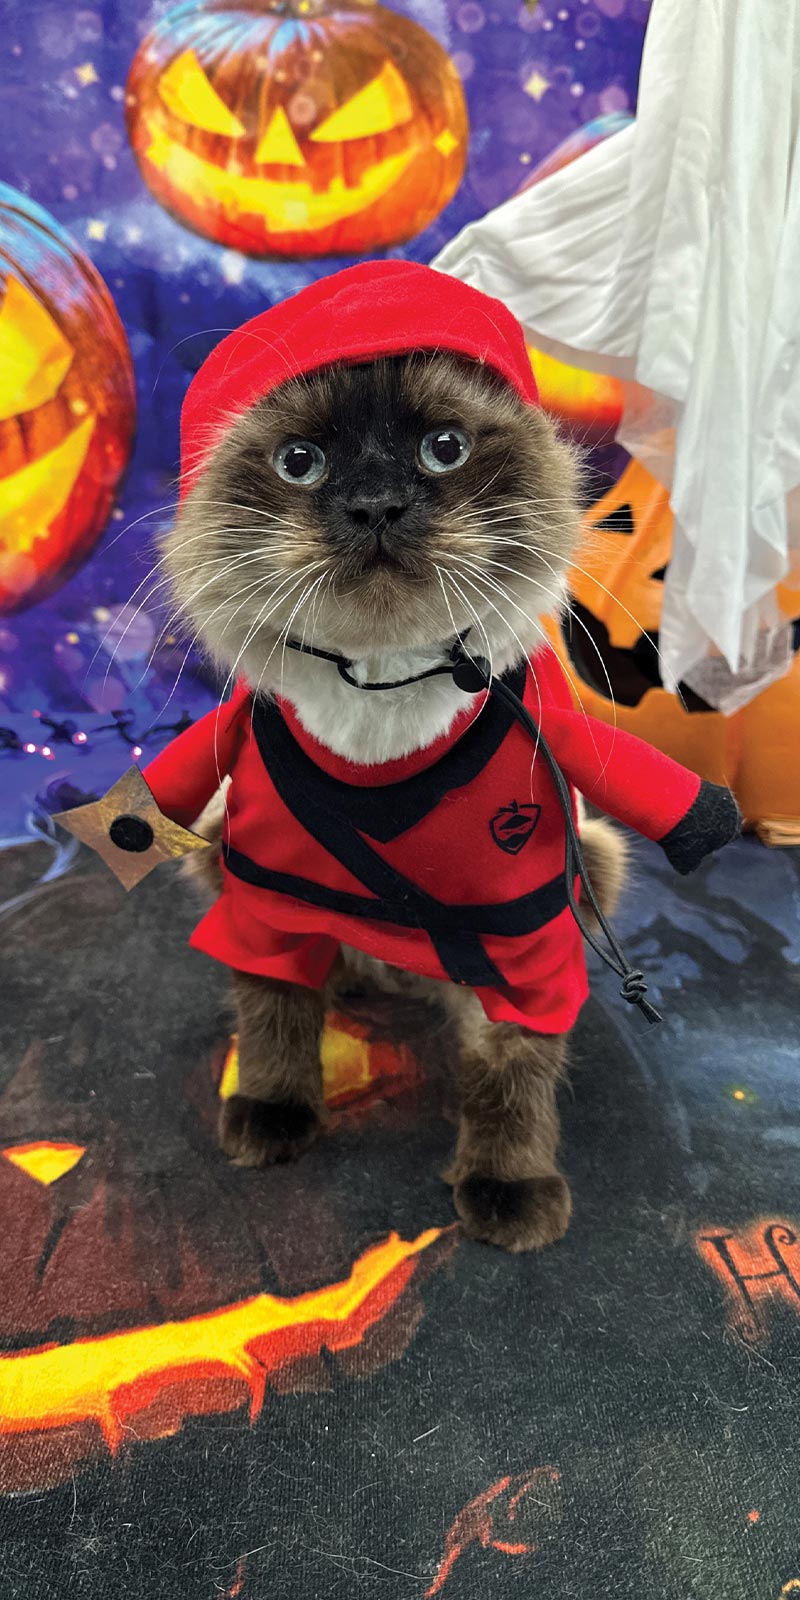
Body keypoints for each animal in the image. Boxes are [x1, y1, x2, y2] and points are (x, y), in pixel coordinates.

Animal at [160, 350, 624, 1248]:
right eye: (299, 463)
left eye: (444, 449)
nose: (376, 505)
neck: (380, 694)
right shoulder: (265, 897)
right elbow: (274, 1016)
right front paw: (273, 1113)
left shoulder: (526, 933)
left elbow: (512, 1068)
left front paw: (508, 1186)